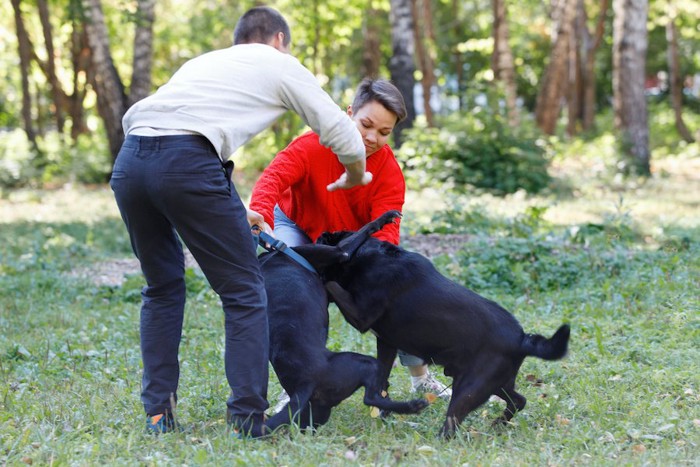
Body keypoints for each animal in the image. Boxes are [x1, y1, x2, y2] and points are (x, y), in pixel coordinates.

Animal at [262, 210, 430, 434]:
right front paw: (385, 218)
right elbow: (364, 230)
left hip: (316, 414)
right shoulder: (339, 252)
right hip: (365, 363)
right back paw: (412, 407)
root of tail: (303, 386)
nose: (324, 233)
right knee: (370, 398)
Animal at [318, 227, 568, 438]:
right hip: (492, 383)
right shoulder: (386, 342)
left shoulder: (361, 316)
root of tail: (521, 340)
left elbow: (330, 283)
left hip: (468, 389)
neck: (366, 257)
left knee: (451, 427)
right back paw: (498, 424)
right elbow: (382, 379)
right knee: (519, 400)